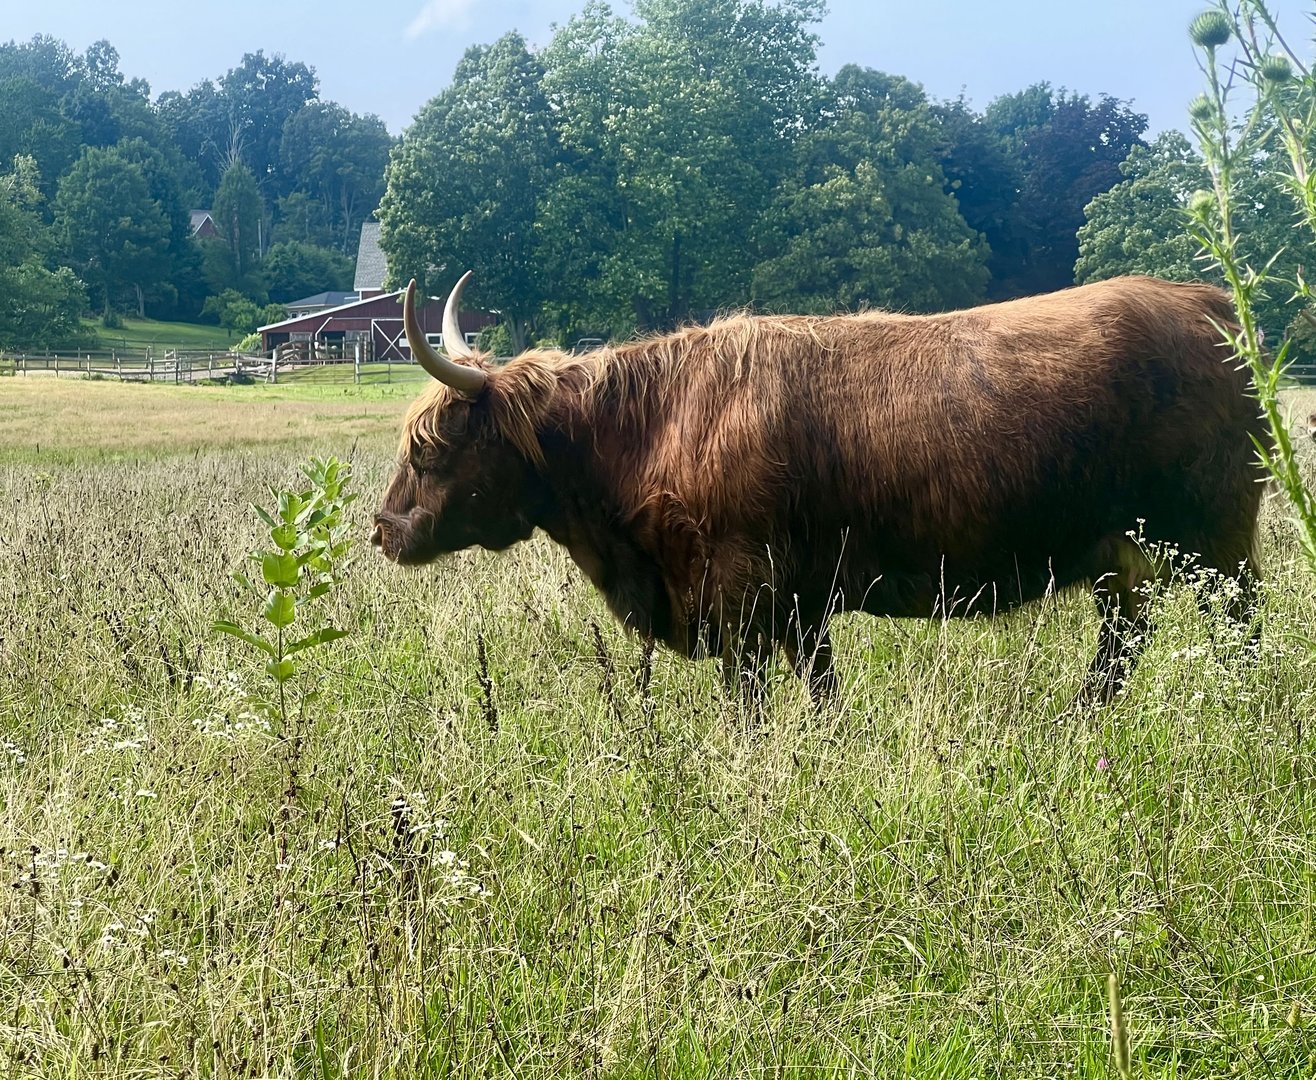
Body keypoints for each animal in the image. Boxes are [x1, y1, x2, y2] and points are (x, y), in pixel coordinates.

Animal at [372, 272, 1267, 704]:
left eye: (429, 448)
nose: (382, 528)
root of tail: (1204, 300)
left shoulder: (741, 594)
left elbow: (749, 705)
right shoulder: (800, 605)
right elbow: (823, 698)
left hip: (1216, 542)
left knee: (1242, 634)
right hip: (1125, 555)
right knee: (1122, 644)